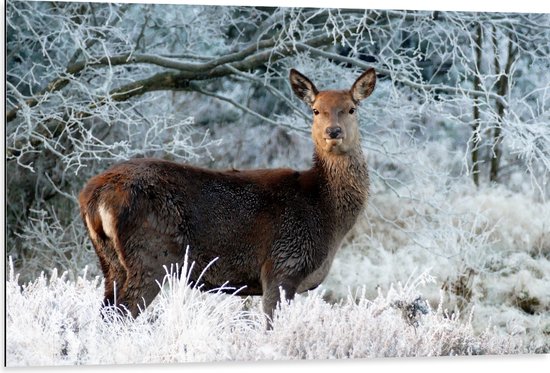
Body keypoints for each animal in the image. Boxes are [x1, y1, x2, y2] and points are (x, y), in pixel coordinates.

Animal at [77, 67, 378, 326]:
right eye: (316, 110)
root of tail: (93, 196)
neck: (325, 211)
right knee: (121, 315)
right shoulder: (282, 266)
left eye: (351, 109)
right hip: (150, 256)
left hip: (110, 262)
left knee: (105, 313)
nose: (333, 132)